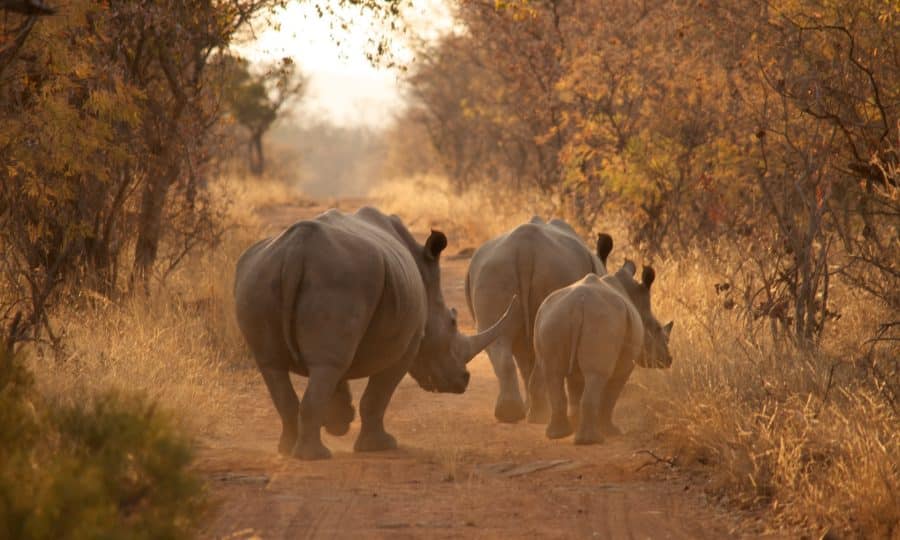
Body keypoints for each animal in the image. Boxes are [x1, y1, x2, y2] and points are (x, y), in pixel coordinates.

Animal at [234, 207, 516, 460]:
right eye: (452, 323)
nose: (463, 380)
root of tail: (296, 247)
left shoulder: (347, 332)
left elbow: (339, 374)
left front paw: (339, 422)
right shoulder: (408, 344)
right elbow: (377, 395)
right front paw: (381, 445)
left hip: (258, 276)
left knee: (275, 365)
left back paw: (288, 450)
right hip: (342, 279)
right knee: (323, 367)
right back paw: (314, 456)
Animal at [465, 216, 613, 423]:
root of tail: (524, 249)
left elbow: (523, 361)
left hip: (493, 269)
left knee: (498, 339)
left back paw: (511, 414)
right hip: (555, 270)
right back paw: (539, 416)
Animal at [532, 262, 673, 445]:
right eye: (656, 329)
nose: (669, 359)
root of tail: (579, 303)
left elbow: (575, 387)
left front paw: (576, 422)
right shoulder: (626, 364)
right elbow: (611, 395)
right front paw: (612, 431)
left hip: (553, 318)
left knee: (552, 373)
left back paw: (558, 434)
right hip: (603, 321)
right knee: (597, 375)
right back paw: (591, 440)